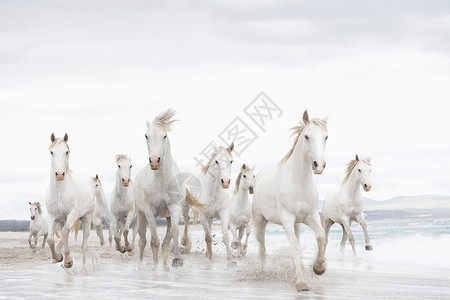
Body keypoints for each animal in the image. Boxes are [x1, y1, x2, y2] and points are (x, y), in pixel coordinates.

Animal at [45, 134, 94, 270]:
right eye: (51, 152)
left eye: (66, 152)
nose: (59, 174)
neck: (60, 191)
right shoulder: (52, 216)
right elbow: (51, 239)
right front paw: (58, 257)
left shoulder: (72, 214)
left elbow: (66, 232)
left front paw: (67, 260)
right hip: (61, 220)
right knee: (62, 236)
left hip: (86, 218)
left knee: (84, 246)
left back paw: (84, 269)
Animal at [134, 109, 186, 270]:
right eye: (146, 135)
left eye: (165, 135)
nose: (154, 161)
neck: (162, 180)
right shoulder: (150, 212)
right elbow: (154, 241)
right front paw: (155, 268)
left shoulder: (175, 208)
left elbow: (174, 233)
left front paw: (177, 260)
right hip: (141, 215)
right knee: (143, 240)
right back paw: (142, 265)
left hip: (167, 216)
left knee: (166, 242)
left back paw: (164, 266)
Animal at [253, 110, 326, 290]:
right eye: (307, 136)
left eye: (326, 137)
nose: (319, 165)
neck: (298, 182)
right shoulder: (287, 219)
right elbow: (294, 247)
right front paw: (301, 282)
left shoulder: (310, 216)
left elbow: (320, 236)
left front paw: (318, 268)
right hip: (260, 221)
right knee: (262, 247)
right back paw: (263, 273)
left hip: (297, 225)